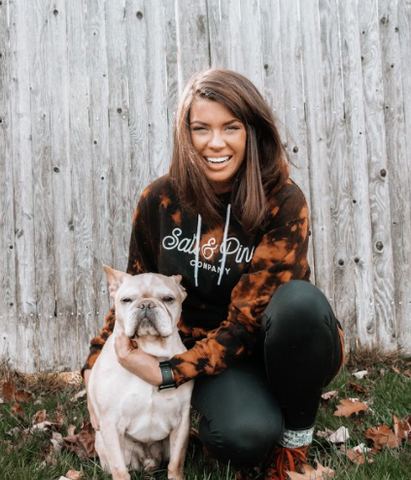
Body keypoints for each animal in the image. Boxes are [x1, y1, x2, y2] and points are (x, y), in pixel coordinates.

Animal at [87, 266, 194, 480]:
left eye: (168, 299)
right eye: (126, 300)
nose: (146, 304)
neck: (150, 351)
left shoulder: (182, 421)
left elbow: (176, 463)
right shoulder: (110, 424)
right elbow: (119, 469)